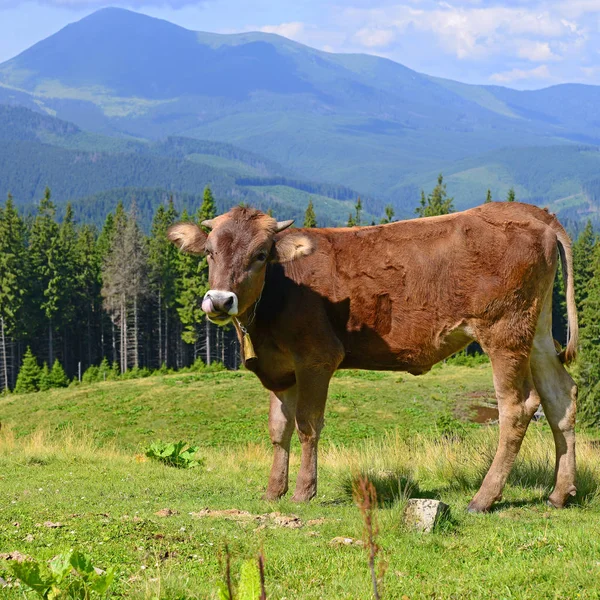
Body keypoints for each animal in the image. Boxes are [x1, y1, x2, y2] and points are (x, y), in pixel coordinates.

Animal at [168, 200, 576, 510]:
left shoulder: (317, 357)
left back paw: (483, 498)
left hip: (504, 331)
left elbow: (306, 425)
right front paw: (272, 491)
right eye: (209, 253)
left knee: (518, 407)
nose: (220, 300)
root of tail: (535, 213)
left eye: (260, 254)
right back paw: (559, 493)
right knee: (561, 397)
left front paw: (303, 491)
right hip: (537, 330)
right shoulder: (279, 368)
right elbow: (278, 429)